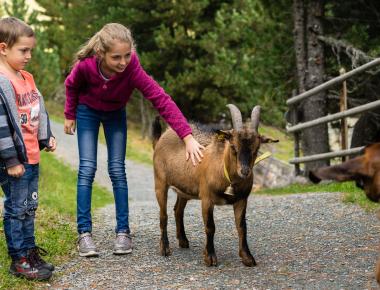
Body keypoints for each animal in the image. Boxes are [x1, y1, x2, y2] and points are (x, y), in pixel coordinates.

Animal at [152, 104, 280, 268]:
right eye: (233, 146)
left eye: (256, 149)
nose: (244, 171)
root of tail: (162, 137)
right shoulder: (207, 198)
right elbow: (210, 226)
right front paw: (210, 257)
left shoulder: (242, 200)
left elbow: (242, 227)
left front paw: (247, 257)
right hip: (160, 181)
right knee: (163, 214)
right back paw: (165, 248)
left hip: (185, 190)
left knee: (178, 210)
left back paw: (183, 241)